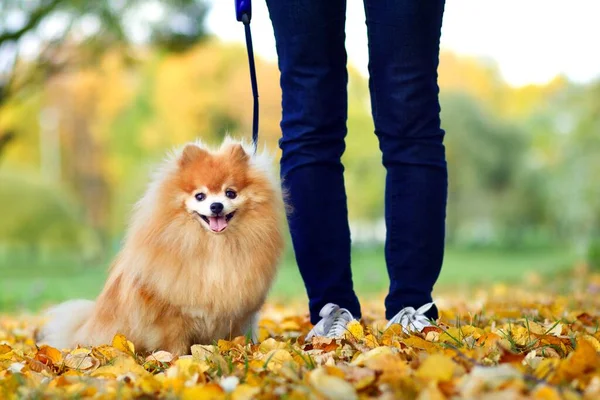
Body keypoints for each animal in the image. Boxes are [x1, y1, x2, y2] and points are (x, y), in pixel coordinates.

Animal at [37, 138, 286, 354]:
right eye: (200, 196)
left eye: (230, 193)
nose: (216, 206)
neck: (213, 246)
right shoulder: (170, 313)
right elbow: (174, 341)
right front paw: (176, 359)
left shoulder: (235, 311)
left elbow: (231, 336)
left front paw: (232, 351)